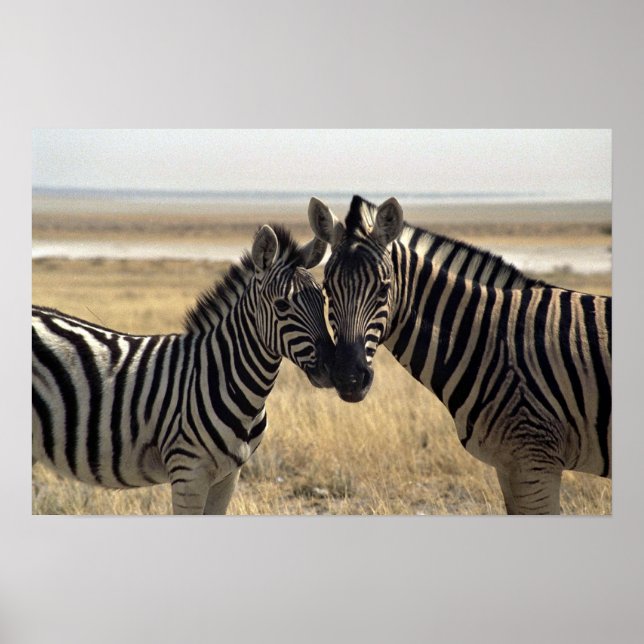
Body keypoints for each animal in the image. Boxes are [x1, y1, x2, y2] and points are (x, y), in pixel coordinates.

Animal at [32, 224, 333, 515]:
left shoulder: (229, 476)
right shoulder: (189, 473)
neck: (225, 375)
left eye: (323, 300)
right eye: (282, 305)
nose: (335, 367)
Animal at [308, 195, 611, 515]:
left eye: (383, 289)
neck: (490, 340)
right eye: (327, 290)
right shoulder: (509, 465)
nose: (349, 379)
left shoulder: (534, 460)